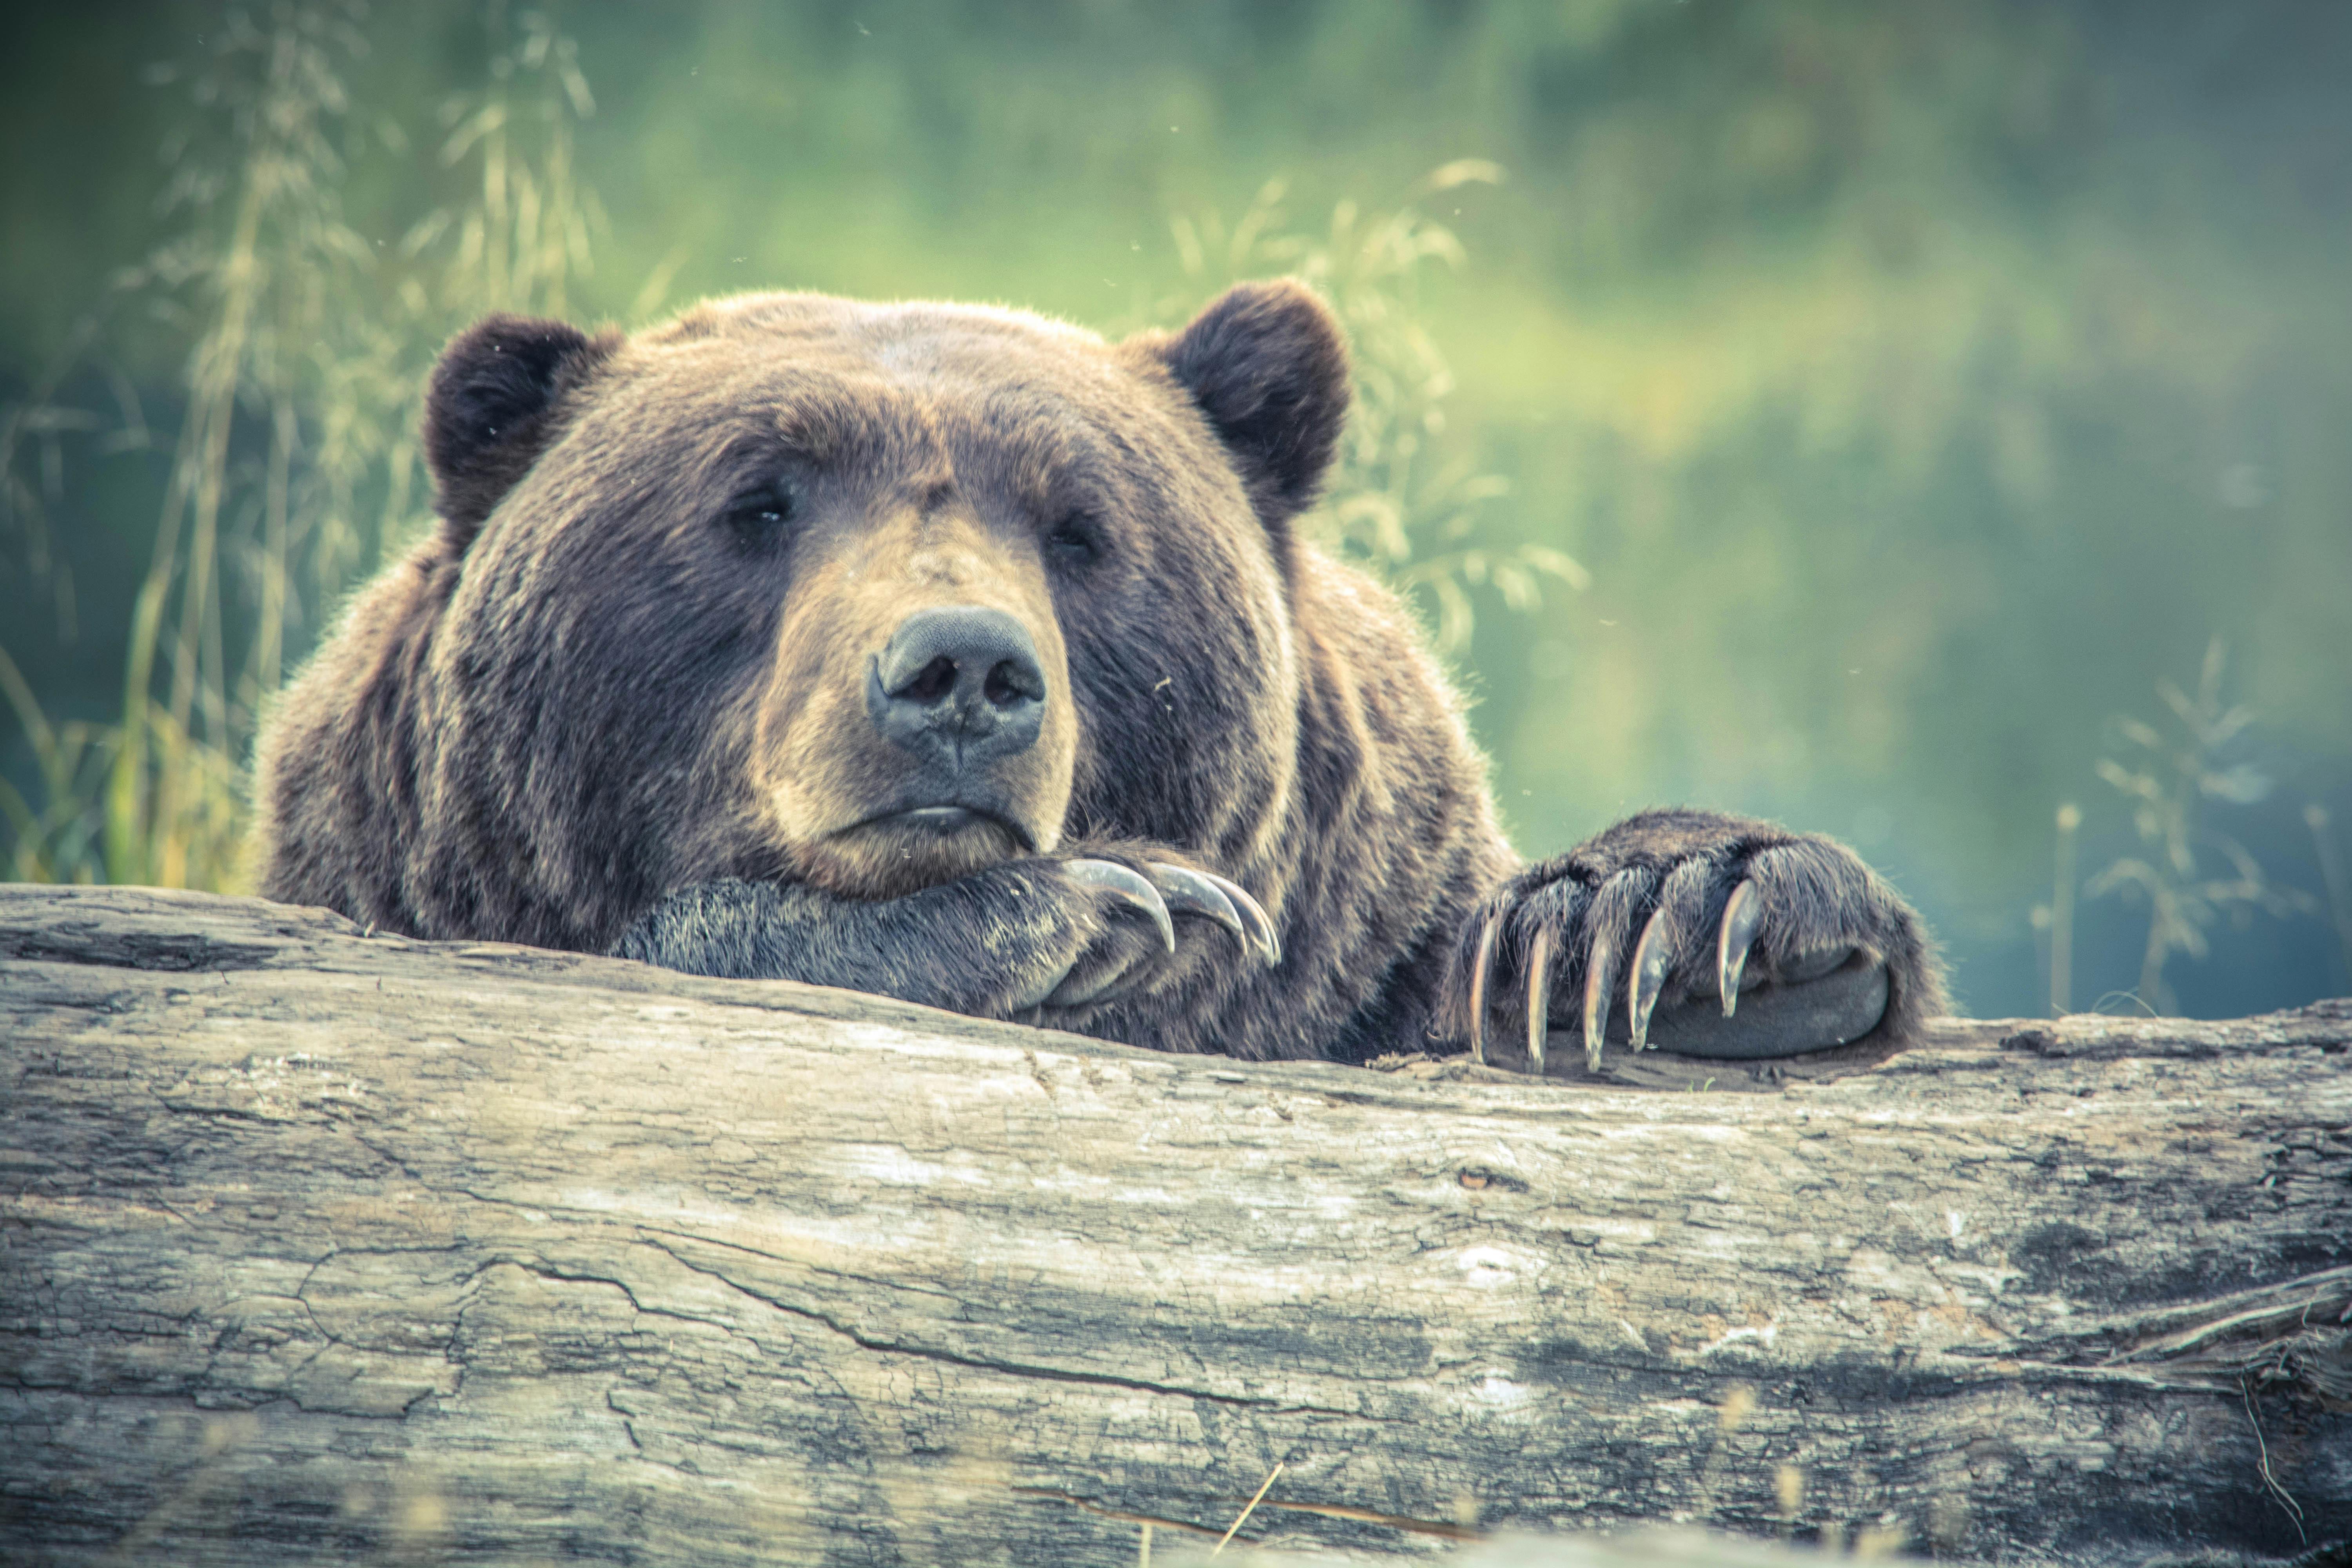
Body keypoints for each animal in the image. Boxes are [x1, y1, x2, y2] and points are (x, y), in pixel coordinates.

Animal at [253, 278, 1947, 1067]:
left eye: (1079, 527)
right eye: (757, 501)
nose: (960, 672)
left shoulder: (1365, 940)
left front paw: (1663, 925)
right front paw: (1098, 908)